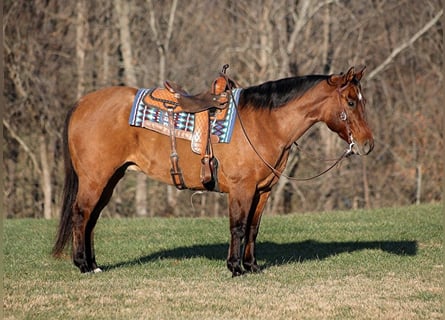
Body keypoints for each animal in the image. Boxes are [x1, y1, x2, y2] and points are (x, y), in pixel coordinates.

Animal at [51, 66, 372, 276]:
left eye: (363, 101)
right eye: (351, 101)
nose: (367, 144)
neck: (265, 123)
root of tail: (82, 103)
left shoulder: (263, 191)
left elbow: (253, 228)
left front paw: (252, 266)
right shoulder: (242, 189)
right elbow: (238, 226)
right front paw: (235, 267)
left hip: (110, 179)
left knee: (91, 219)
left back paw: (94, 264)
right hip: (95, 179)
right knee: (81, 215)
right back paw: (82, 265)